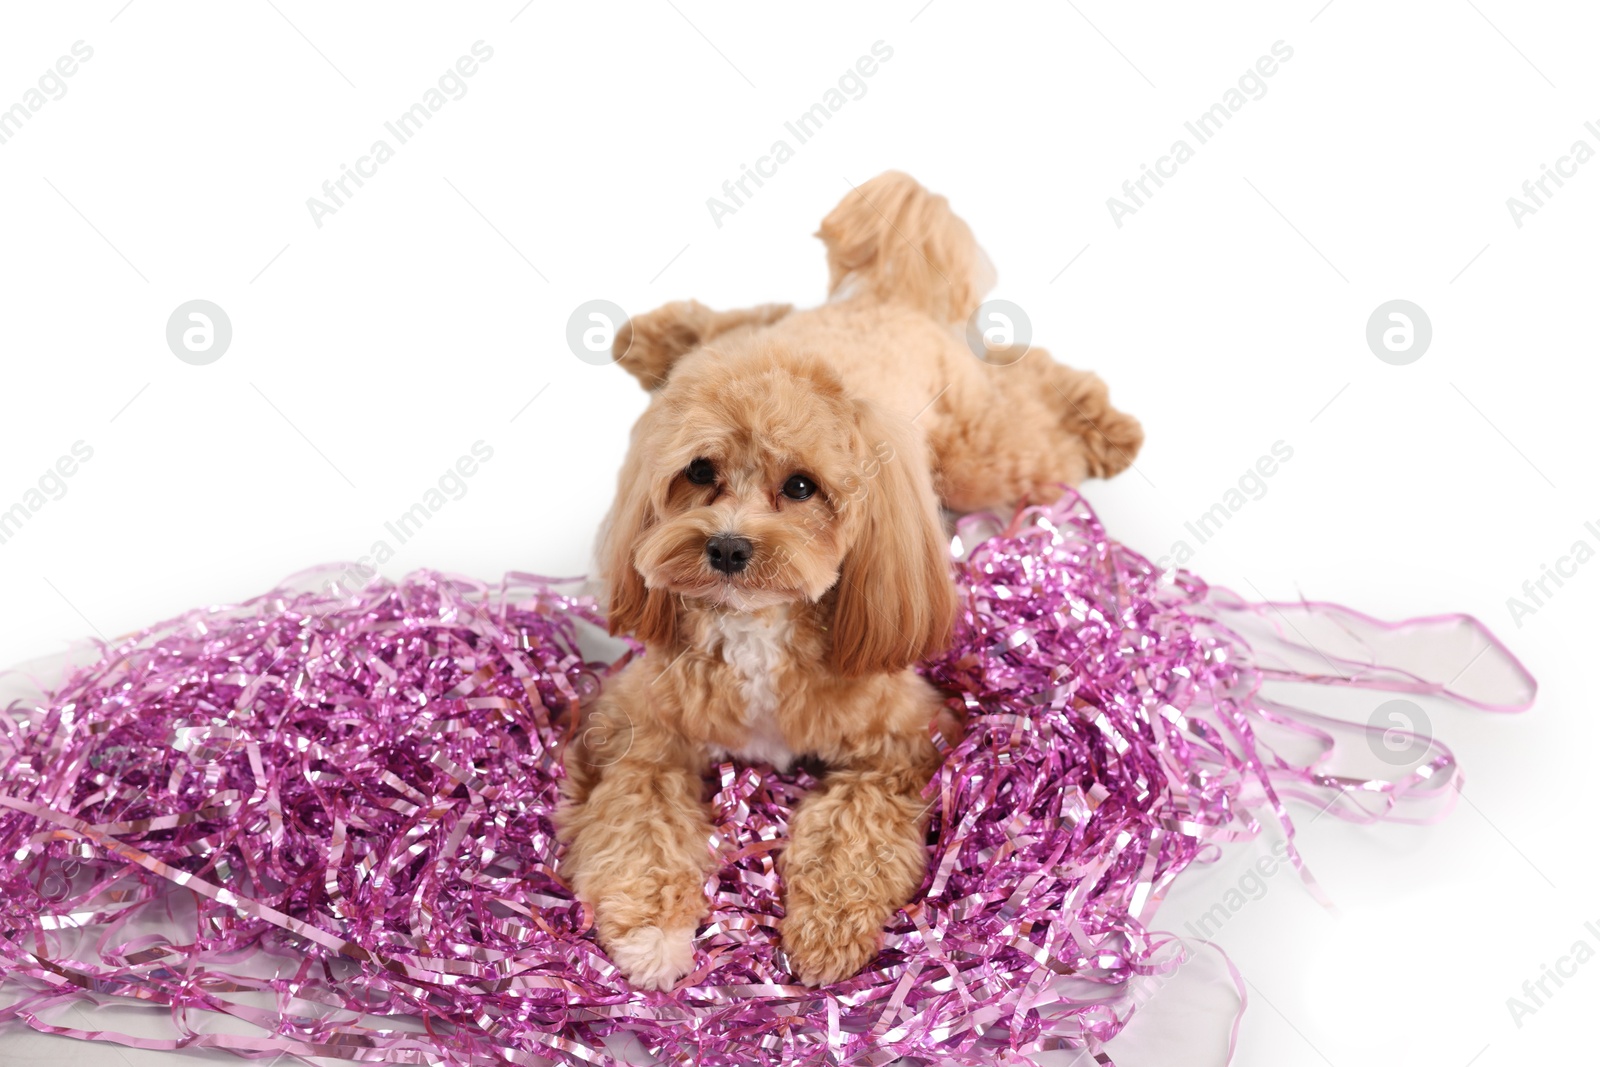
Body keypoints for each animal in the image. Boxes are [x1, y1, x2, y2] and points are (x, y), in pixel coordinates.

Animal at [556, 168, 1145, 991]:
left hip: (982, 454)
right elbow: (637, 819)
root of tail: (887, 296)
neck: (760, 629)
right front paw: (650, 932)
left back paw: (1109, 429)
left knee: (1029, 390)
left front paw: (828, 932)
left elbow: (853, 827)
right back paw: (653, 333)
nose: (727, 547)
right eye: (699, 472)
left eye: (802, 487)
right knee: (747, 316)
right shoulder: (635, 727)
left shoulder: (905, 739)